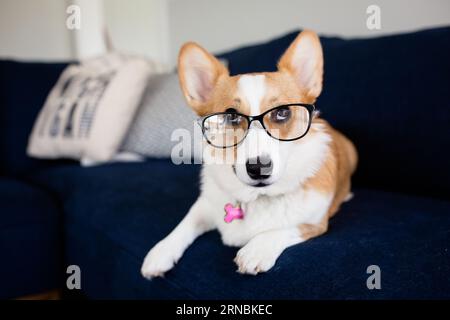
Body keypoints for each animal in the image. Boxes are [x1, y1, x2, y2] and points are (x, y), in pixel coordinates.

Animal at [142, 29, 356, 278]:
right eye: (231, 116)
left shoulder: (315, 223)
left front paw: (256, 250)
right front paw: (161, 251)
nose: (258, 167)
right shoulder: (204, 204)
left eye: (282, 112)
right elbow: (185, 222)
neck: (258, 197)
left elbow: (283, 229)